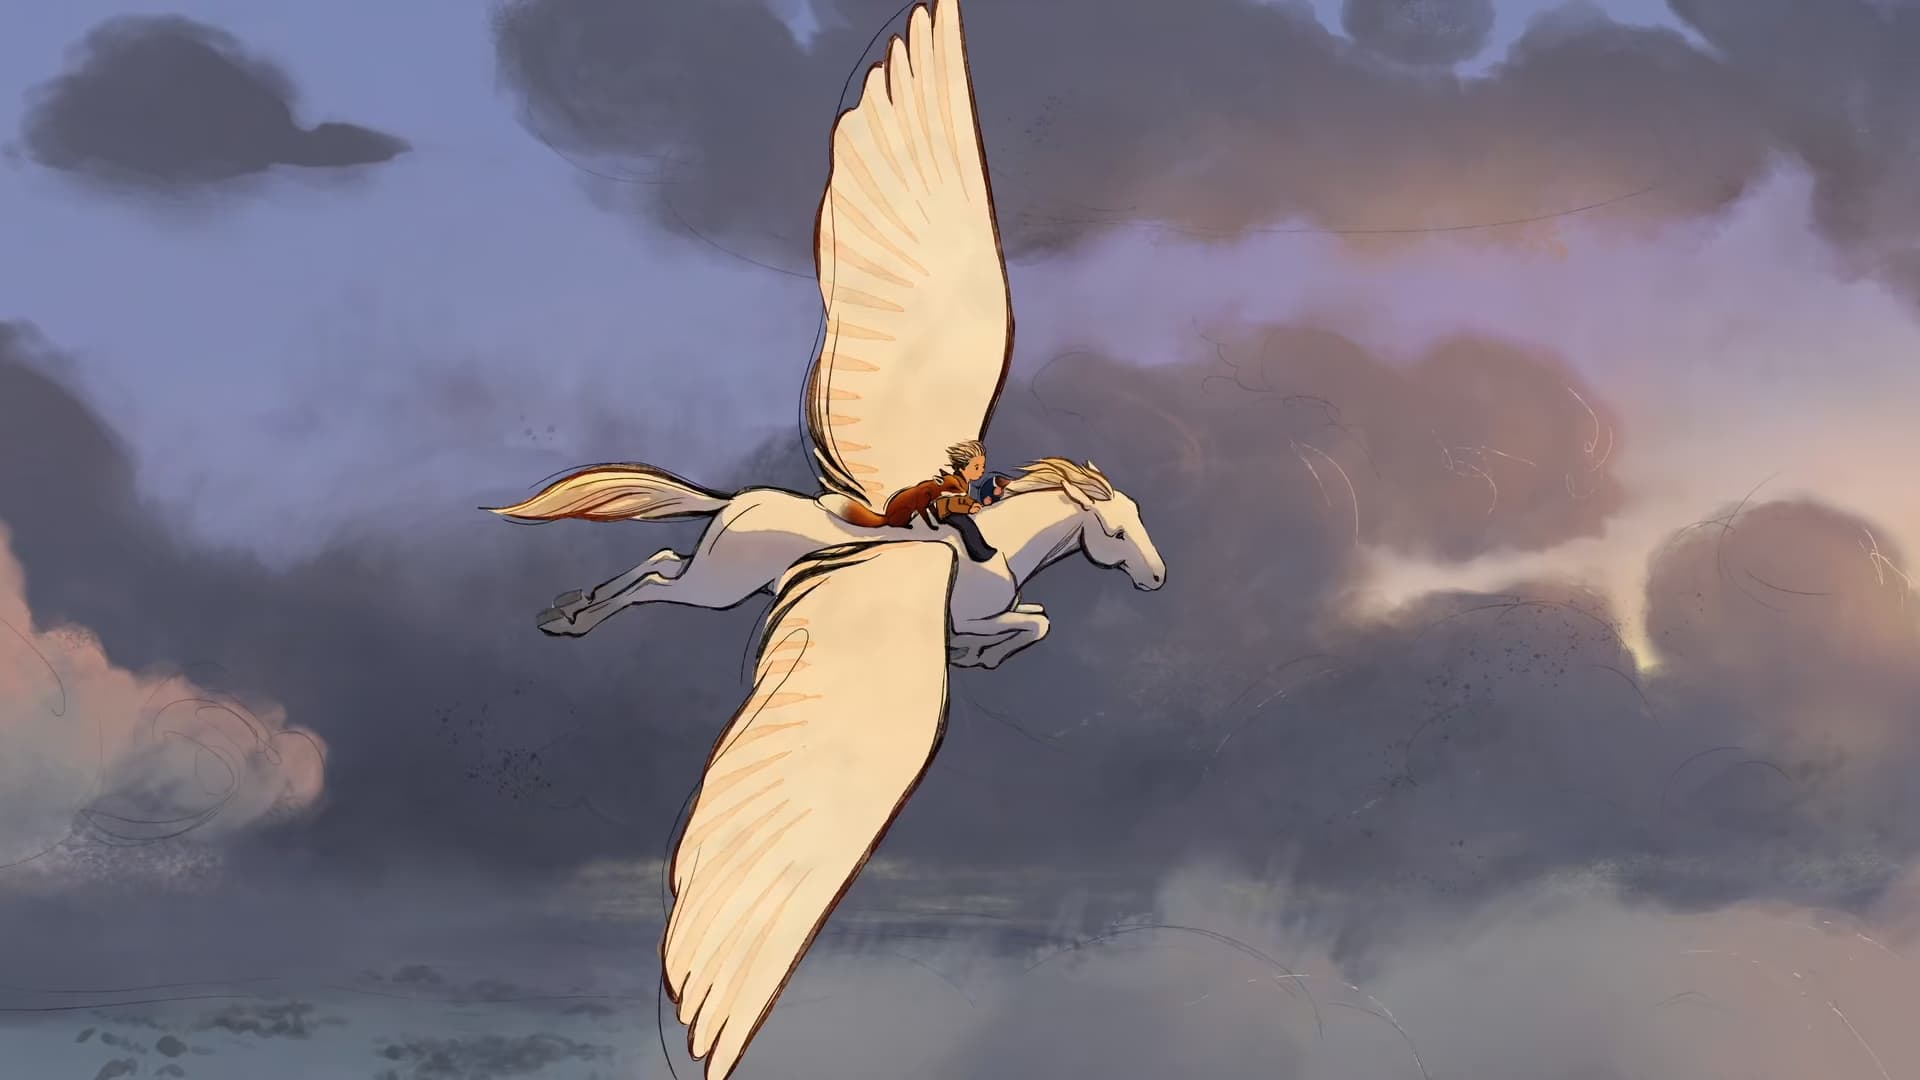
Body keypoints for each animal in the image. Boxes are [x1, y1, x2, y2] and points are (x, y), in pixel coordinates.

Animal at [498, 457, 1166, 670]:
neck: (998, 546)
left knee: (660, 560)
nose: (1157, 577)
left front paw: (972, 657)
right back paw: (574, 621)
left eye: (1140, 514)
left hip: (709, 574)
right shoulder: (971, 613)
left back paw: (566, 609)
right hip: (716, 590)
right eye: (1115, 531)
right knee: (655, 583)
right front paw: (977, 656)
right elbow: (1036, 622)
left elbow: (1037, 618)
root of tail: (737, 501)